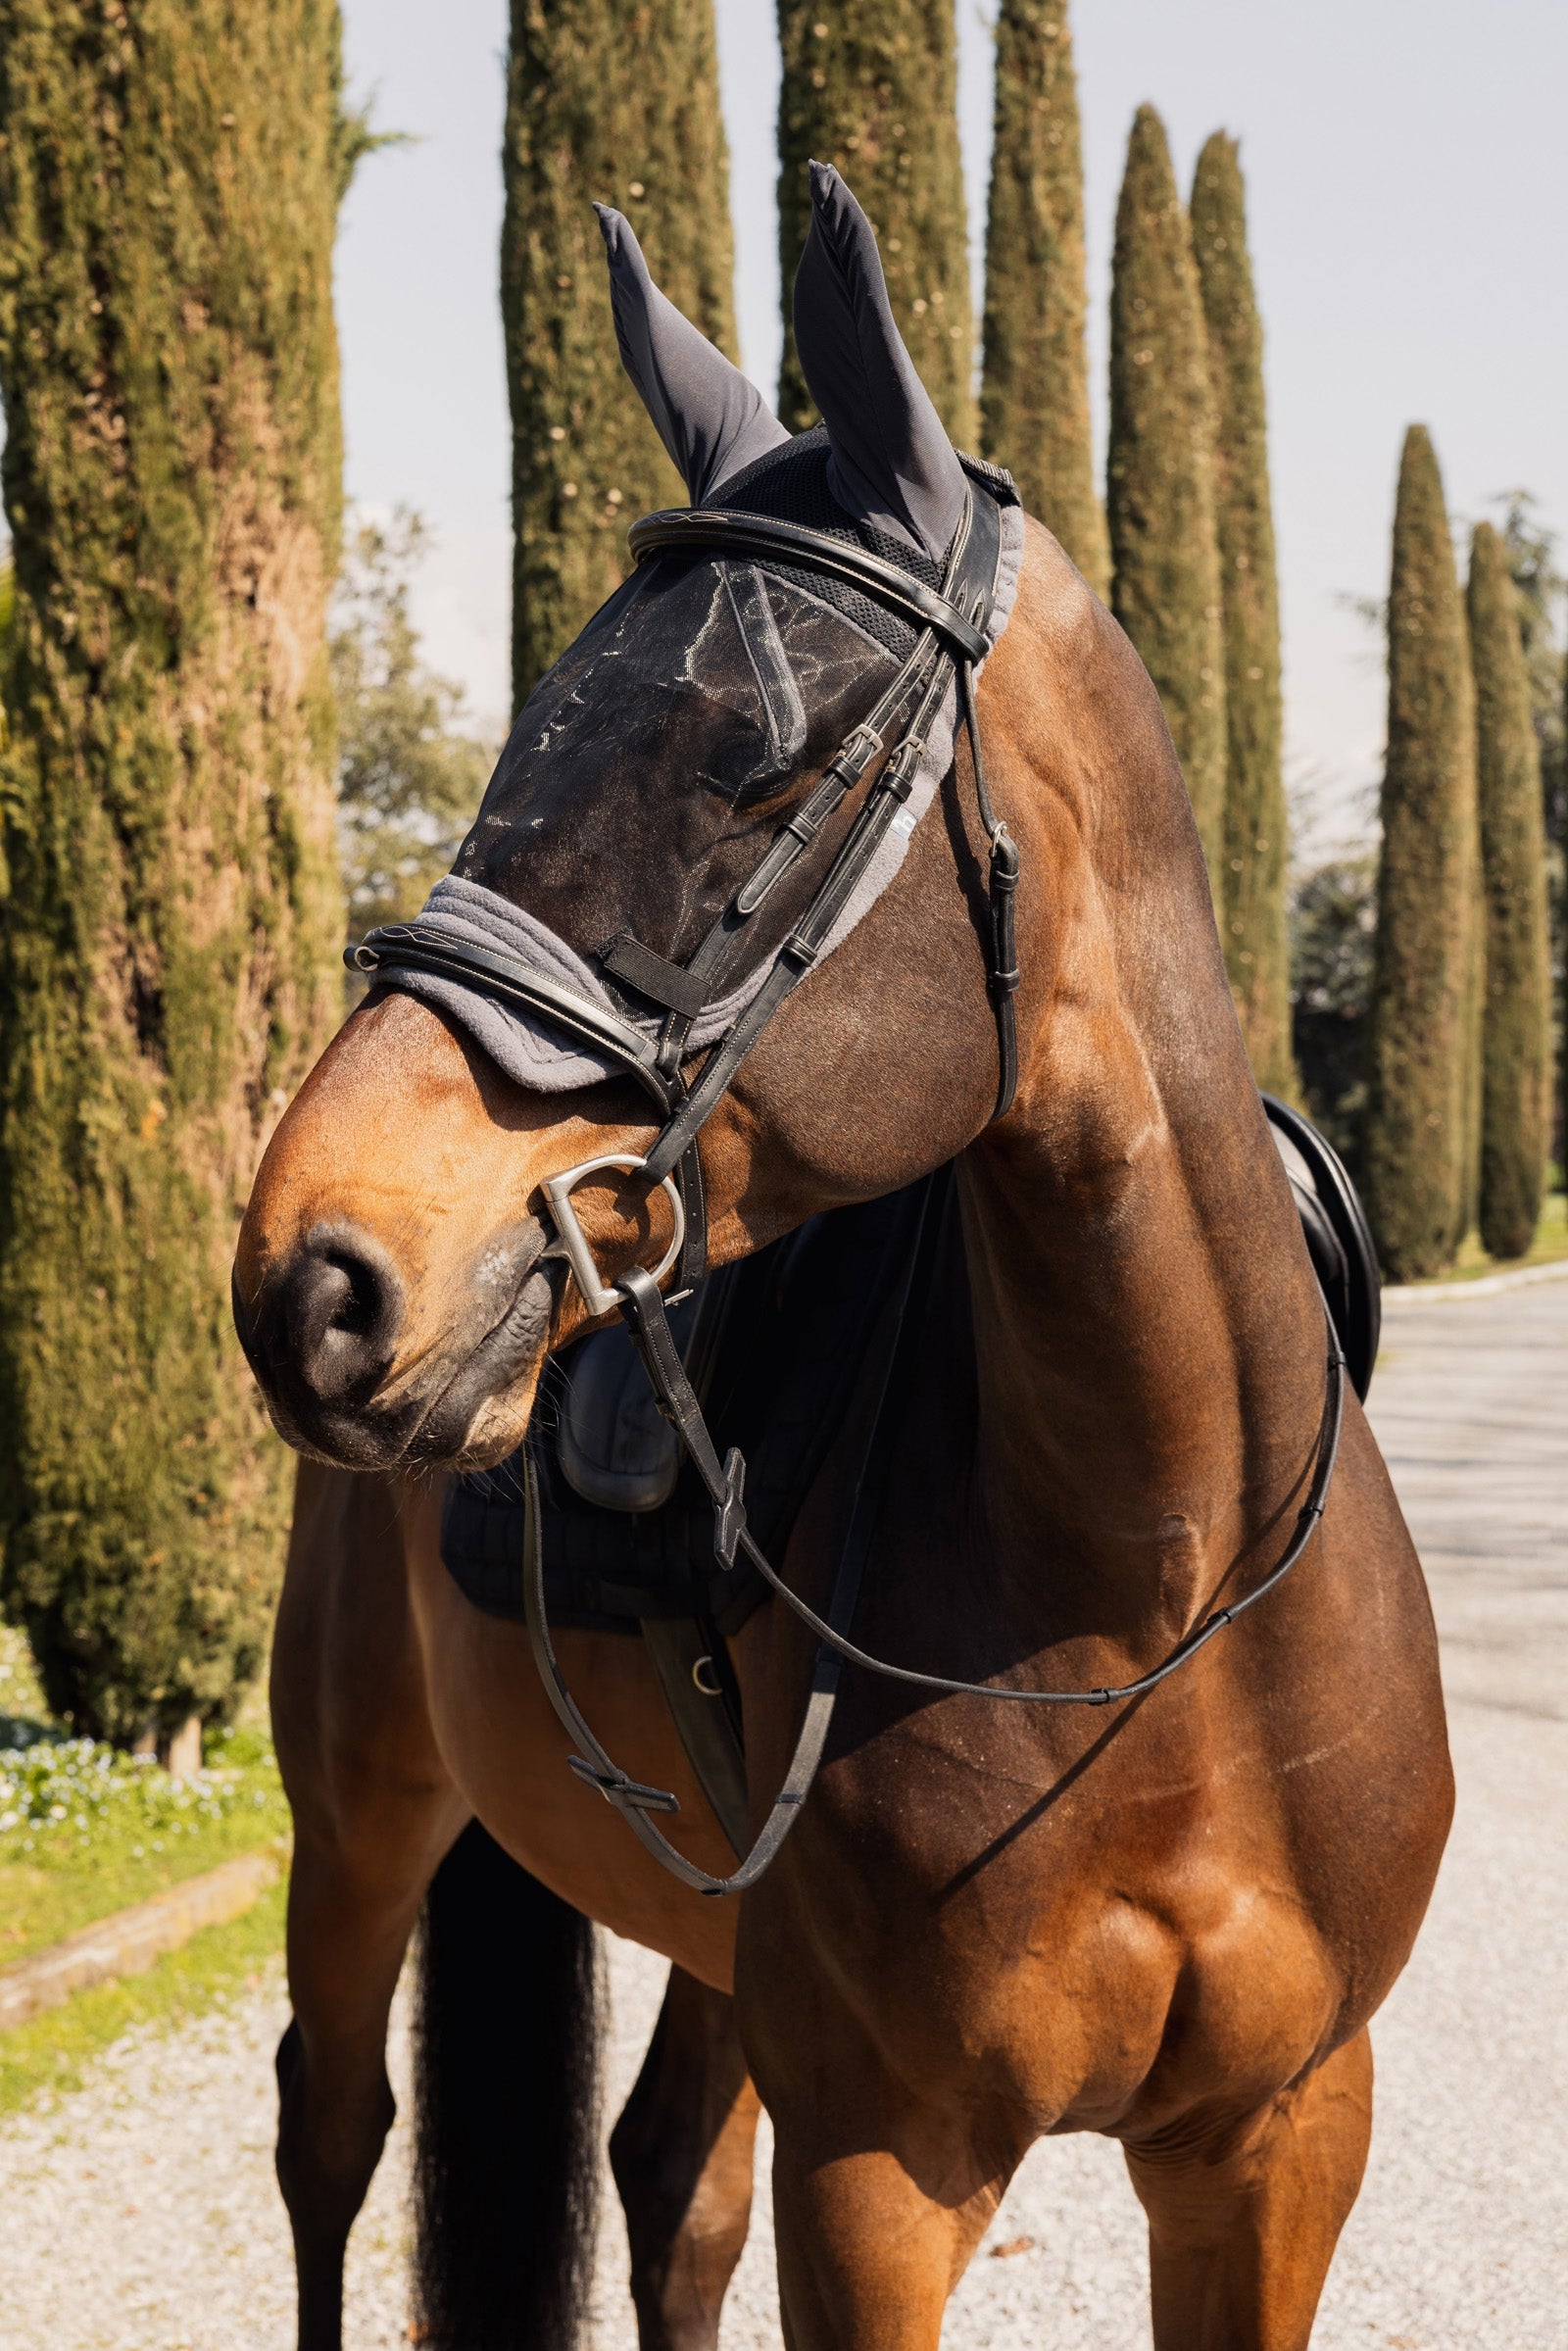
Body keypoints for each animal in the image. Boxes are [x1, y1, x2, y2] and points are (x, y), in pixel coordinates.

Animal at [234, 166, 1452, 2351]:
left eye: (765, 768)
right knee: (331, 2131)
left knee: (663, 2182)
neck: (1164, 1587)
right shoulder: (887, 2165)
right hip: (361, 1819)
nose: (315, 1271)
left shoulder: (1275, 2136)